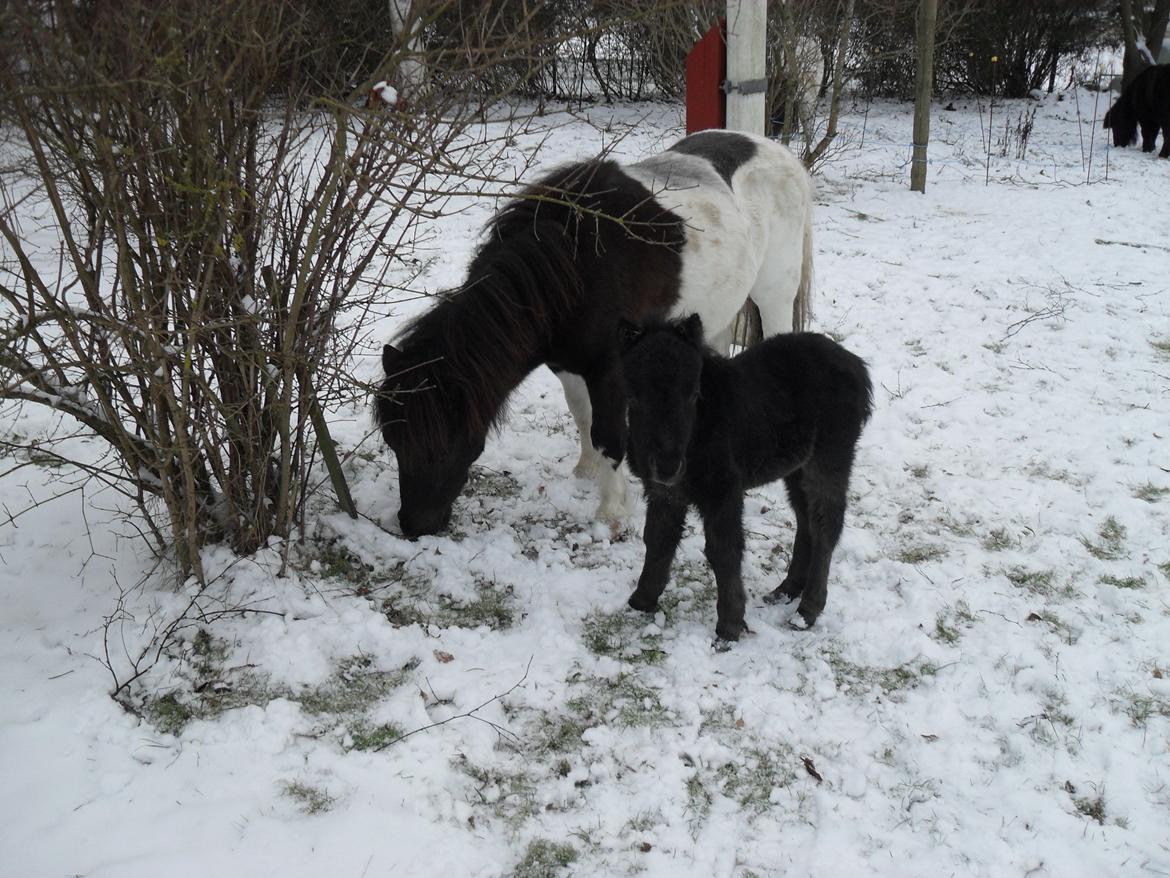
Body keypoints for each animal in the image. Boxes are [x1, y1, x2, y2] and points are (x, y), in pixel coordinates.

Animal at [376, 129, 814, 536]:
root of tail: (775, 150)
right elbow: (582, 415)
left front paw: (612, 510)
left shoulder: (608, 370)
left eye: (444, 444)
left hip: (774, 292)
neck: (575, 266)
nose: (414, 526)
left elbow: (608, 433)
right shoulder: (566, 364)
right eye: (395, 442)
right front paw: (586, 470)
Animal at [622, 313, 870, 641]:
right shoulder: (664, 493)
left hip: (830, 457)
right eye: (633, 397)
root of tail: (855, 364)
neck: (698, 432)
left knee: (825, 524)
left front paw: (729, 625)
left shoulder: (724, 490)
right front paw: (642, 600)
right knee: (805, 520)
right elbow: (657, 537)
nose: (667, 466)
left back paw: (807, 609)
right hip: (796, 466)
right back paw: (787, 590)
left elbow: (723, 550)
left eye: (694, 394)